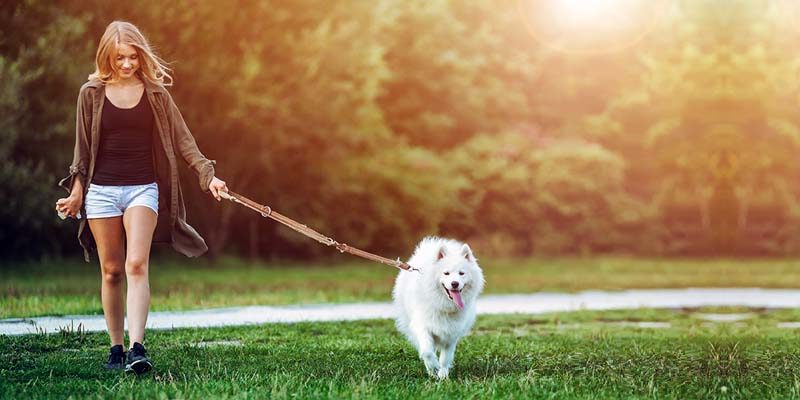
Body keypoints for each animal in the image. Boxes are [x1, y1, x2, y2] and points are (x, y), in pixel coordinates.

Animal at [392, 236, 484, 380]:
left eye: (461, 273)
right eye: (446, 273)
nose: (454, 283)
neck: (443, 305)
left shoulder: (451, 333)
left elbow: (445, 358)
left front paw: (443, 375)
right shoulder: (422, 326)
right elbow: (427, 351)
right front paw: (433, 367)